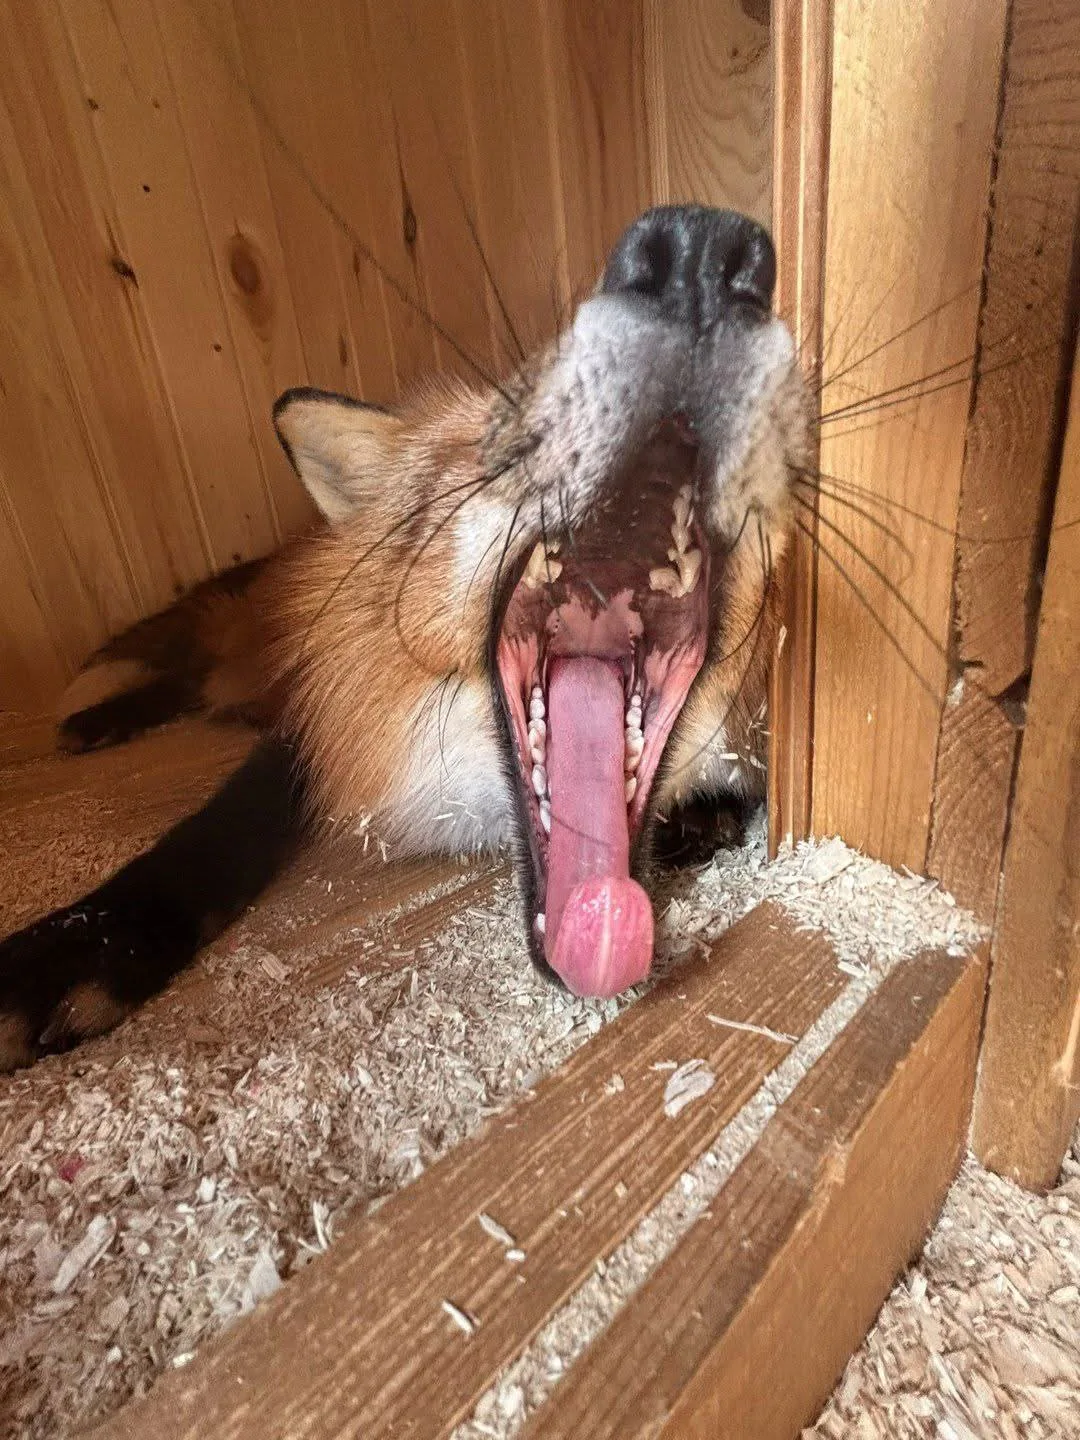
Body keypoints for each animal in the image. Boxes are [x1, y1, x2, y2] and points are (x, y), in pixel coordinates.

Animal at [0, 205, 807, 1070]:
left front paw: (707, 816)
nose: (701, 253)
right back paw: (103, 719)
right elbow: (221, 829)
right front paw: (77, 951)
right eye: (514, 431)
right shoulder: (324, 721)